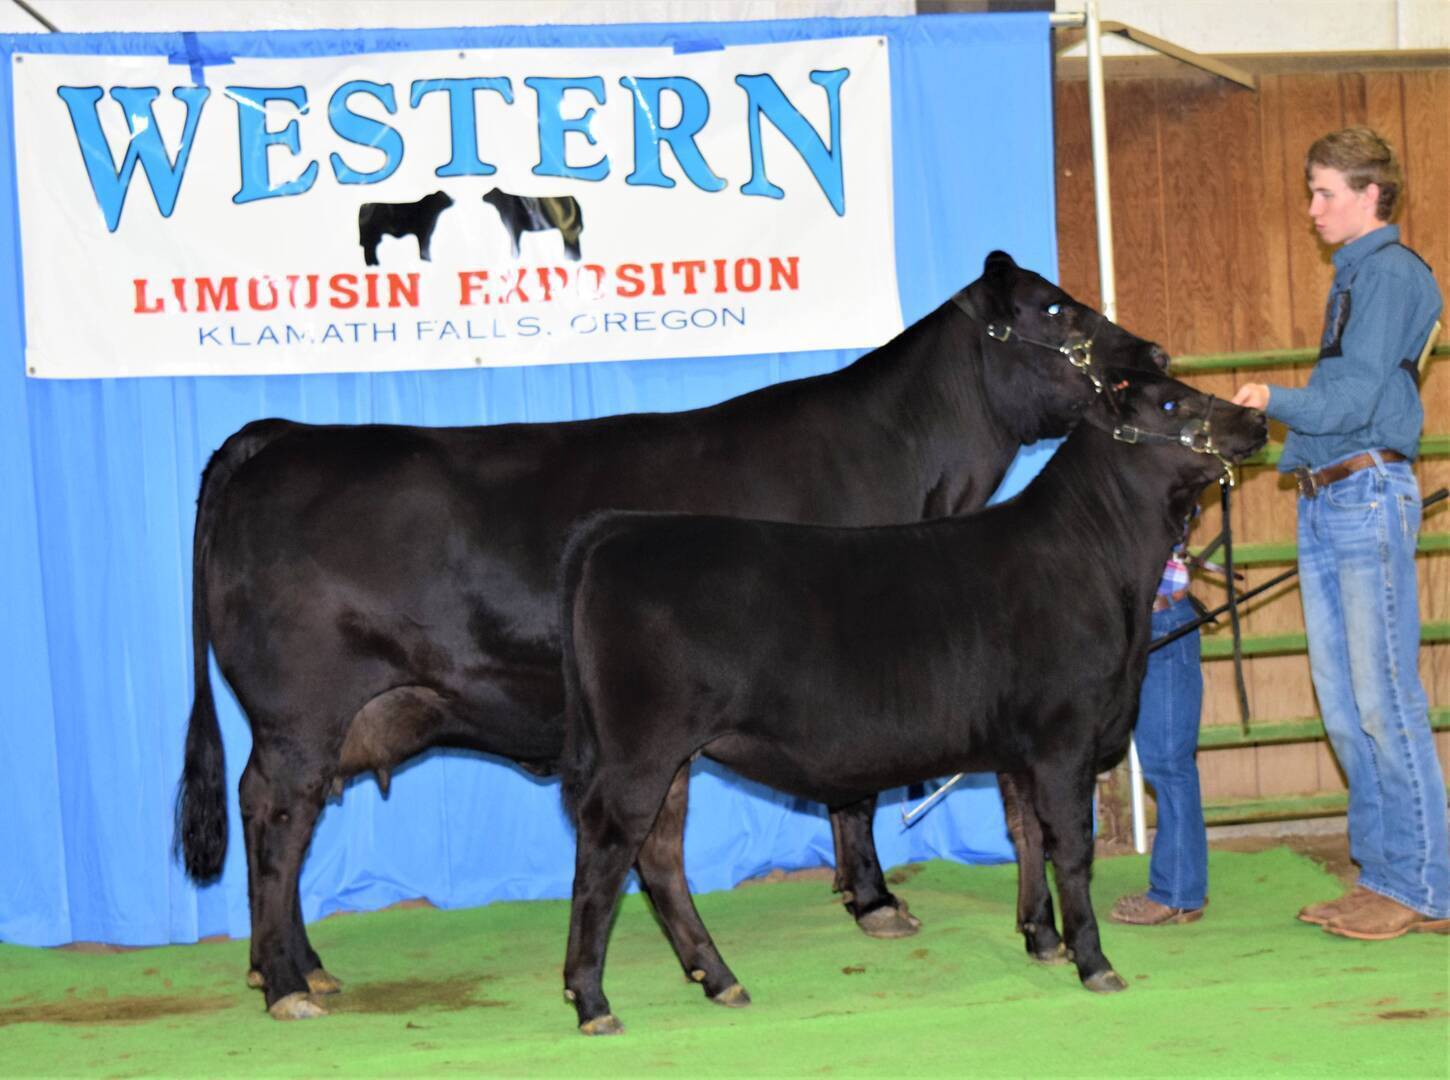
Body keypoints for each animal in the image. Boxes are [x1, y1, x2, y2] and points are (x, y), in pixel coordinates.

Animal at [174, 252, 1169, 1020]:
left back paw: (299, 967)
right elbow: (853, 793)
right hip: (302, 711)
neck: (918, 477)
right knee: (274, 813)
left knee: (285, 823)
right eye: (1054, 308)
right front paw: (877, 900)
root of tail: (279, 437)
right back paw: (284, 982)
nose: (1155, 352)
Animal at [556, 369, 1267, 1034]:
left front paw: (1042, 939)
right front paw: (1093, 961)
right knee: (604, 852)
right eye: (1171, 403)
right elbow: (1071, 848)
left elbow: (1025, 836)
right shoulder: (1063, 737)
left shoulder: (1018, 749)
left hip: (673, 759)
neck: (1102, 567)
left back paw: (718, 977)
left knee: (659, 856)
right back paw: (592, 1000)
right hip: (641, 752)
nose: (1256, 420)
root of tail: (616, 530)